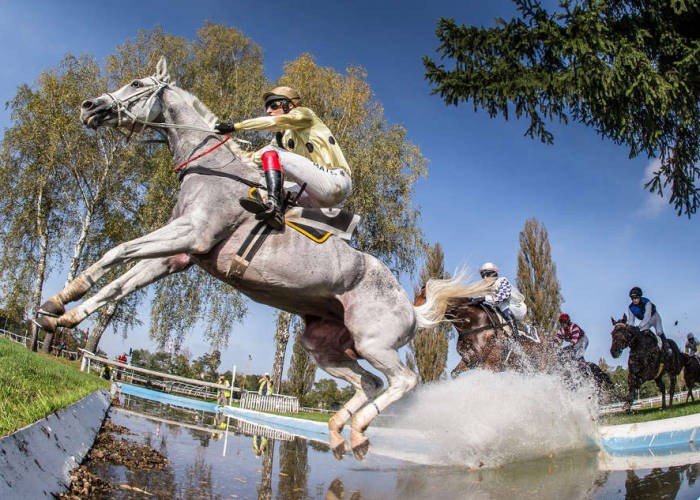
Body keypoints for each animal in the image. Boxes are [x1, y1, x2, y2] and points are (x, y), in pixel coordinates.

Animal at [34, 56, 492, 458]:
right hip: (323, 347)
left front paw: (60, 301)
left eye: (137, 83)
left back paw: (360, 430)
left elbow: (117, 251)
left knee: (404, 380)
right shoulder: (177, 254)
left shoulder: (190, 235)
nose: (89, 106)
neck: (212, 168)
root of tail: (412, 309)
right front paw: (60, 312)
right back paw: (339, 431)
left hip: (373, 342)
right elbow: (119, 281)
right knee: (369, 384)